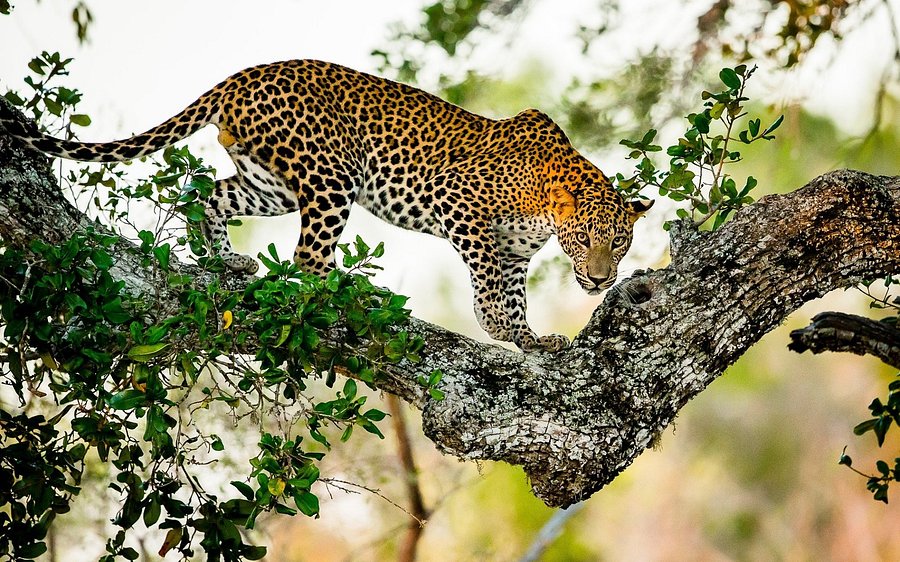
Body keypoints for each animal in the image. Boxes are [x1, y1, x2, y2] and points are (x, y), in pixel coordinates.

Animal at [0, 59, 653, 352]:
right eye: (585, 238)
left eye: (619, 241)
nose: (601, 280)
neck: (544, 201)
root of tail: (242, 75)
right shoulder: (459, 204)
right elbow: (489, 287)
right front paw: (502, 330)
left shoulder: (516, 252)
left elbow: (510, 291)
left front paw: (527, 338)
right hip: (332, 174)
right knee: (307, 263)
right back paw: (345, 293)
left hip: (272, 183)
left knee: (208, 194)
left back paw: (224, 261)